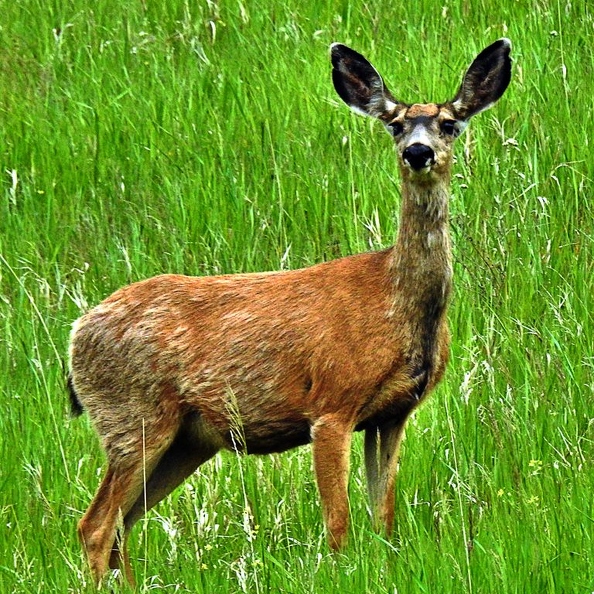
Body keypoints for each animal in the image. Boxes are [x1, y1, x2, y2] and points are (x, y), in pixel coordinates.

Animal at [66, 38, 508, 584]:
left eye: (449, 123)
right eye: (396, 124)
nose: (418, 152)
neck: (396, 303)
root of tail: (76, 333)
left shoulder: (392, 414)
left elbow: (384, 519)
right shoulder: (332, 403)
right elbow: (338, 525)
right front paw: (342, 574)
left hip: (187, 439)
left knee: (123, 526)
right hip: (133, 416)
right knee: (96, 525)